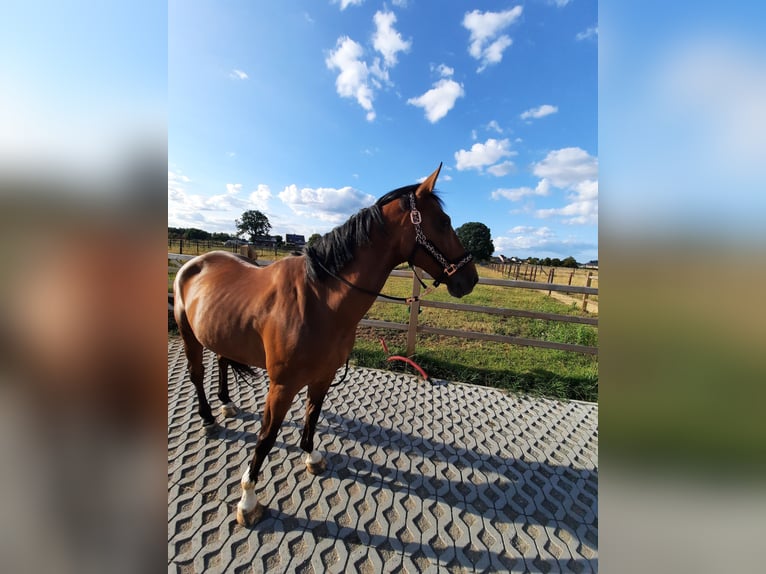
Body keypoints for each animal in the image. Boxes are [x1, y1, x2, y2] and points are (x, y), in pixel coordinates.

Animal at [172, 165, 480, 528]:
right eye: (443, 222)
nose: (470, 278)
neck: (318, 298)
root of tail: (194, 263)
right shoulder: (282, 386)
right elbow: (266, 438)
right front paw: (248, 500)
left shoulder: (323, 376)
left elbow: (312, 417)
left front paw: (312, 456)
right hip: (188, 334)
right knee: (196, 373)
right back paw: (208, 417)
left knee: (221, 360)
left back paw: (226, 403)